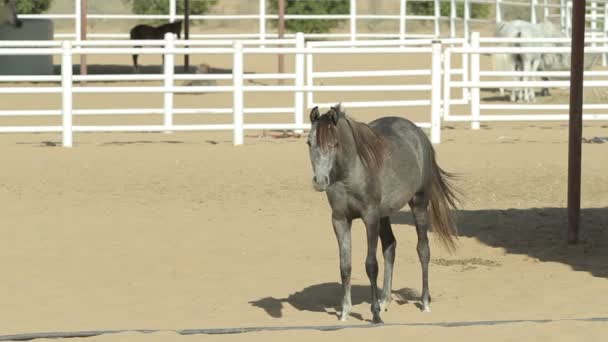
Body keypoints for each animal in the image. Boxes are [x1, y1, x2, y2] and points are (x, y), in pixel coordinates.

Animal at [306, 104, 458, 324]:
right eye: (309, 142)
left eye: (335, 144)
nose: (320, 181)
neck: (349, 174)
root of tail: (418, 133)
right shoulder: (340, 220)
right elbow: (345, 265)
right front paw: (344, 312)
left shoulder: (370, 218)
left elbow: (371, 264)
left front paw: (375, 314)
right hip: (384, 215)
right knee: (390, 246)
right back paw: (385, 299)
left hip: (419, 204)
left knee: (423, 250)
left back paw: (424, 302)